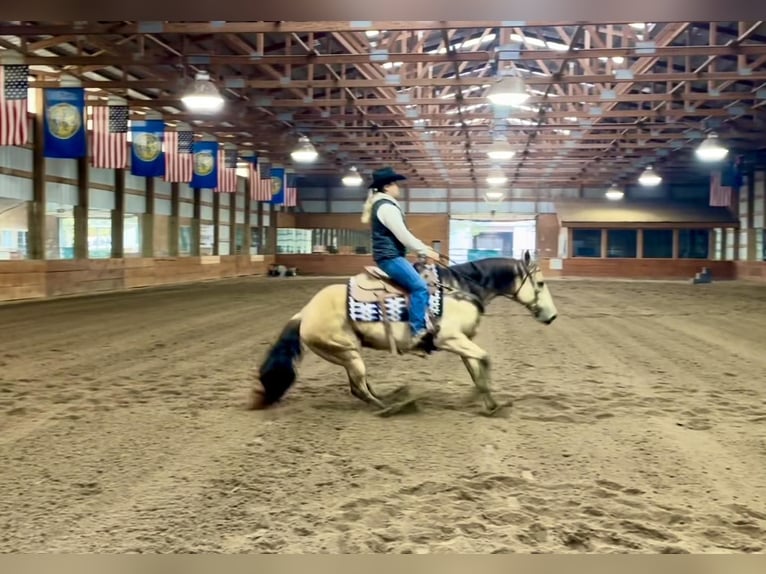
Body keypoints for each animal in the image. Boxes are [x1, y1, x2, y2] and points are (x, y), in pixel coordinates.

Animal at [249, 252, 560, 418]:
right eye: (540, 283)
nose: (552, 316)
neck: (459, 289)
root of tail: (304, 313)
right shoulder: (450, 340)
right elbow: (485, 359)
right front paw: (485, 401)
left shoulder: (462, 342)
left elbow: (476, 367)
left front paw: (487, 402)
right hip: (346, 351)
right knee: (359, 388)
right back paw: (393, 407)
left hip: (347, 353)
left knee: (361, 386)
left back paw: (393, 397)